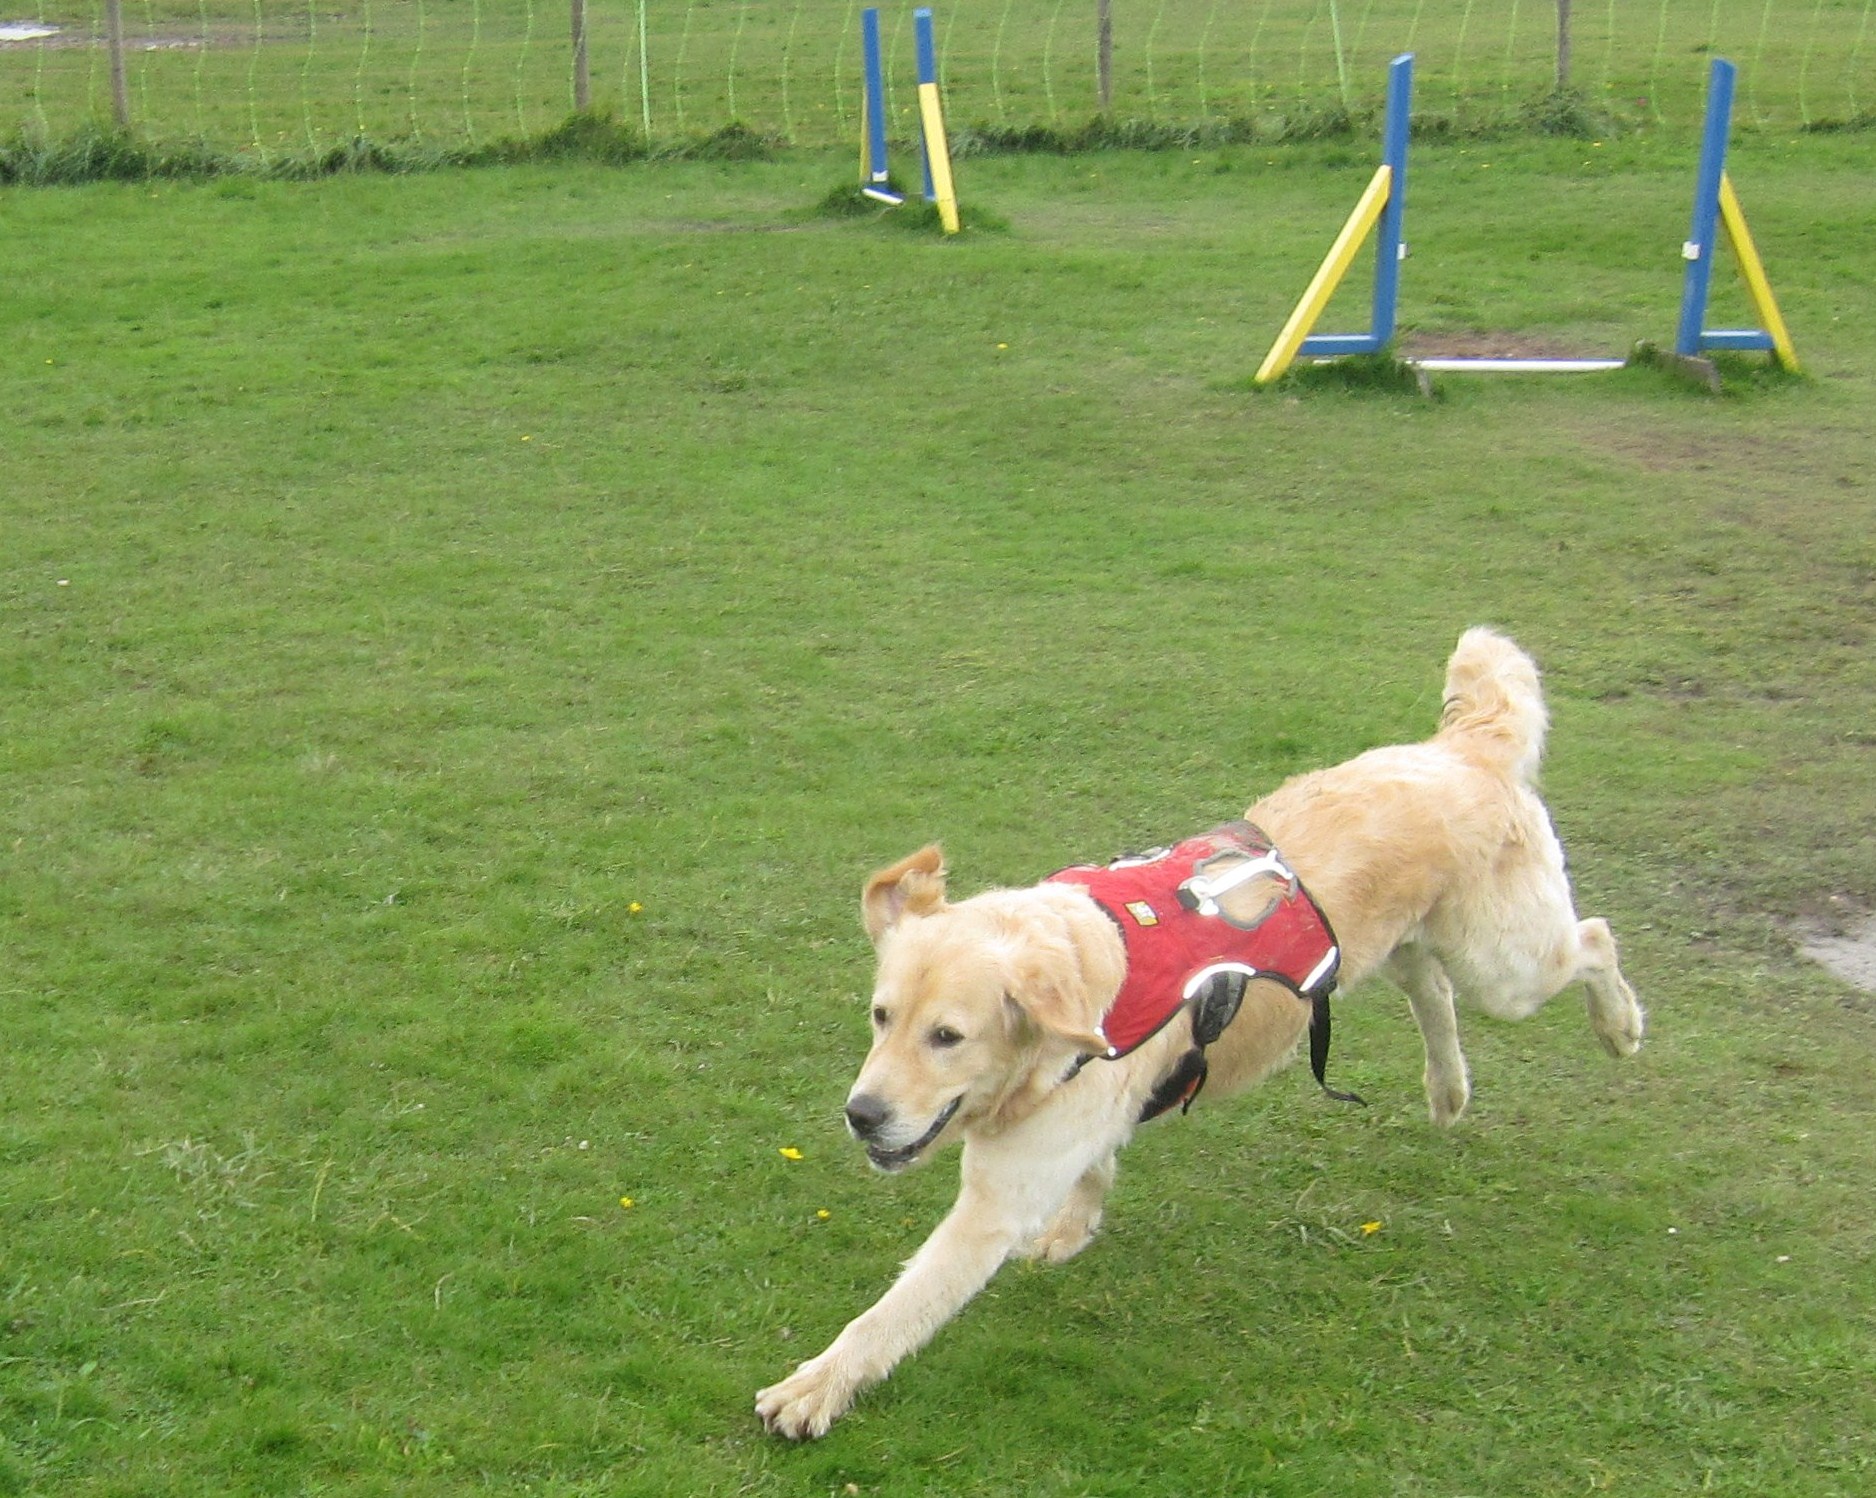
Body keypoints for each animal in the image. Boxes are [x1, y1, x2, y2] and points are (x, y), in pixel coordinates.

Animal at [754, 622, 1650, 1439]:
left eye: (947, 1037)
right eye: (881, 1017)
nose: (861, 1115)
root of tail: (1461, 747)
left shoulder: (995, 1202)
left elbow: (894, 1310)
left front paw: (816, 1388)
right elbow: (1094, 1169)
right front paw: (1076, 1227)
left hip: (1505, 965)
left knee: (1593, 938)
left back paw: (1618, 1026)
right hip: (1400, 946)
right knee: (1431, 986)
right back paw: (1448, 1090)